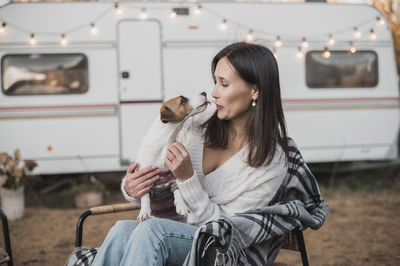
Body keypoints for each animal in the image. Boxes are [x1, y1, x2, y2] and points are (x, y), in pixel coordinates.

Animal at [137, 92, 208, 221]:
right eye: (183, 100)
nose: (204, 93)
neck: (164, 144)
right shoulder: (145, 176)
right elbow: (145, 196)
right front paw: (144, 211)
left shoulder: (172, 176)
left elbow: (178, 190)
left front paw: (181, 206)